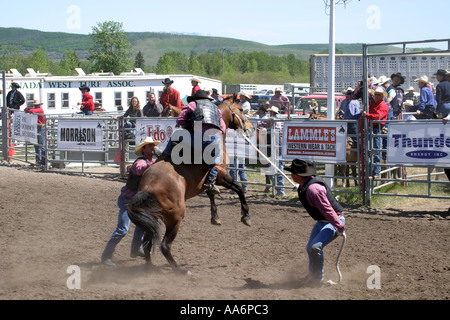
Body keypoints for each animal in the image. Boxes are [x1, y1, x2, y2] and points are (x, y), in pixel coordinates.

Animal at [126, 95, 255, 276]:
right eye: (241, 109)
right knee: (164, 245)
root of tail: (147, 188)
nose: (251, 128)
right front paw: (245, 216)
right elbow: (238, 189)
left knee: (147, 243)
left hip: (153, 219)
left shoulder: (207, 181)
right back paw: (181, 270)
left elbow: (211, 193)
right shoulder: (221, 174)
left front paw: (215, 217)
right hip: (175, 217)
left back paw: (149, 268)